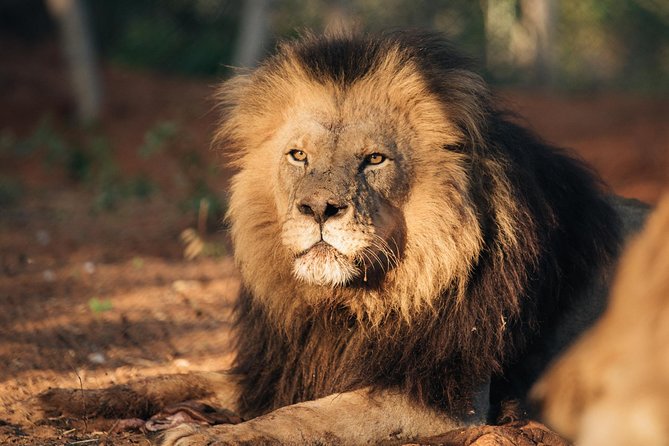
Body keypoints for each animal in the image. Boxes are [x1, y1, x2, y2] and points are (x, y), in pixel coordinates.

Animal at [39, 30, 649, 445]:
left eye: (373, 160)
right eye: (298, 156)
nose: (319, 209)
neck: (348, 306)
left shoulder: (446, 399)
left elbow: (304, 417)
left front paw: (208, 435)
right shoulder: (283, 366)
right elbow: (176, 377)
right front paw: (68, 396)